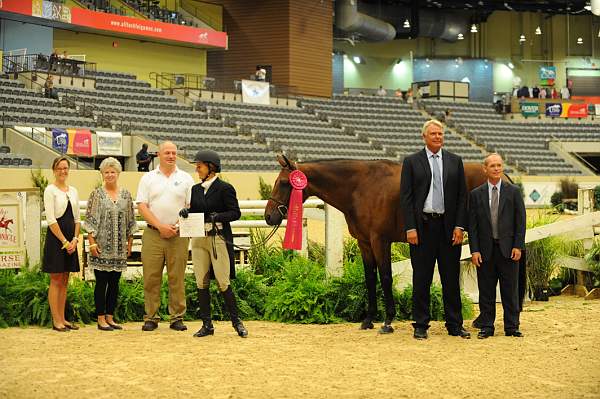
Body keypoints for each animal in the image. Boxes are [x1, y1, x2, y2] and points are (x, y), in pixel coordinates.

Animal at [264, 155, 516, 332]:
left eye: (284, 183)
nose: (269, 216)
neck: (361, 186)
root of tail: (502, 177)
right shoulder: (365, 242)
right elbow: (369, 278)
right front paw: (368, 319)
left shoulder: (380, 241)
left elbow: (385, 277)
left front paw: (387, 320)